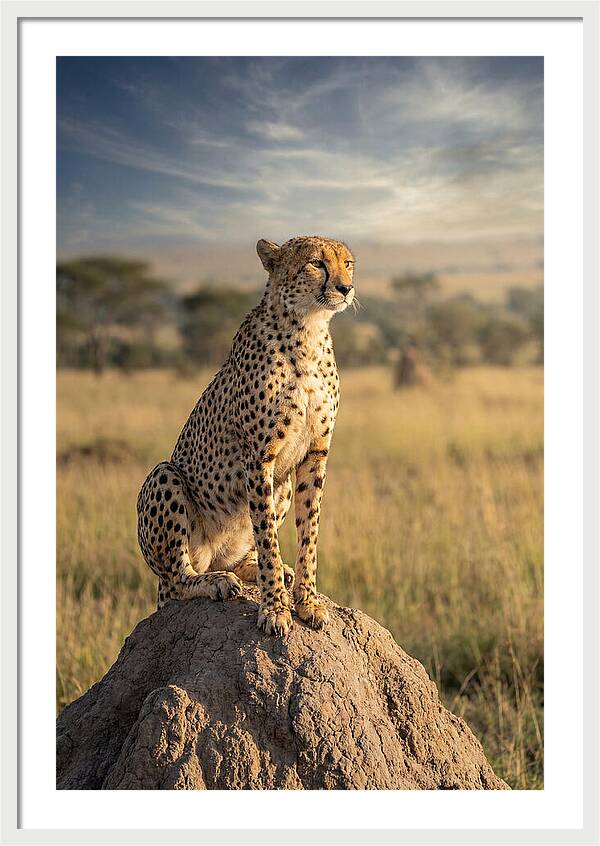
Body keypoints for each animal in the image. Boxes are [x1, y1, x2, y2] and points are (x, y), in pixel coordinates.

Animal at [136, 235, 355, 636]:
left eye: (347, 263)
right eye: (316, 263)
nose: (345, 288)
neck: (308, 329)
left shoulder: (315, 454)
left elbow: (309, 533)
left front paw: (307, 601)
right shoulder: (258, 458)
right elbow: (267, 536)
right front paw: (275, 609)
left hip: (282, 485)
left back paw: (258, 571)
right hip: (164, 478)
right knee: (178, 579)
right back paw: (215, 582)